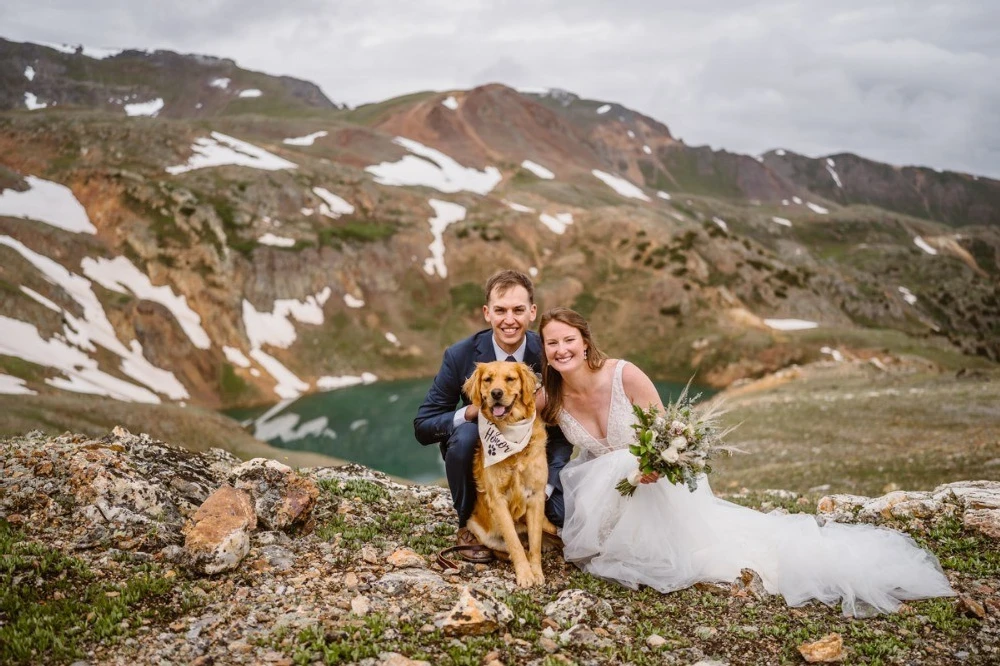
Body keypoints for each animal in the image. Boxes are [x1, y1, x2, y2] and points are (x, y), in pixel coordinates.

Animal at [460, 360, 556, 584]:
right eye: (488, 379)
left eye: (510, 379)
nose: (496, 393)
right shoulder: (498, 499)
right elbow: (514, 542)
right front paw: (525, 574)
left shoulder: (536, 495)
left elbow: (535, 543)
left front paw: (536, 572)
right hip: (480, 529)